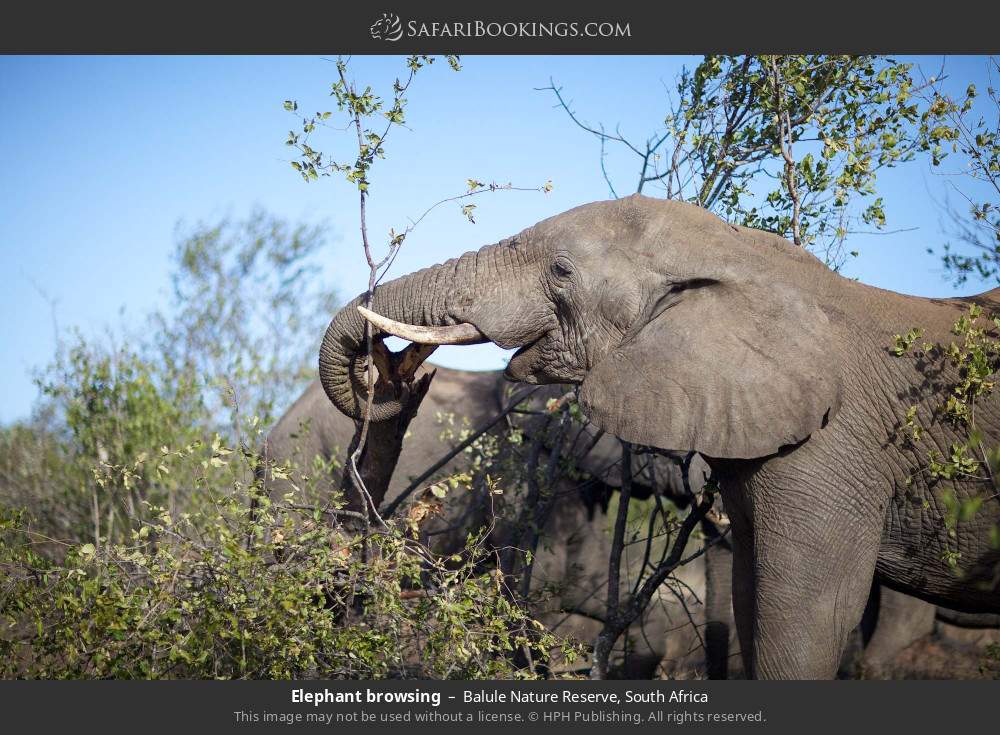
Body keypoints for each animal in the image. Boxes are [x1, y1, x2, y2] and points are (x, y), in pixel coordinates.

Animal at [318, 194, 1000, 679]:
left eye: (560, 271)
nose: (392, 364)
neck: (747, 256)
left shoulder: (835, 449)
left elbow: (805, 619)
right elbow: (753, 597)